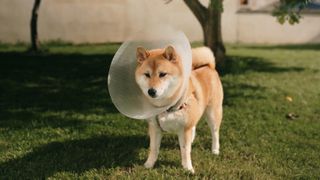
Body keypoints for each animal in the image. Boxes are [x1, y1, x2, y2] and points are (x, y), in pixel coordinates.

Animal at [134, 45, 222, 173]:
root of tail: (209, 66)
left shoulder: (184, 129)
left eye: (162, 74)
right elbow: (154, 148)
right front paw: (149, 165)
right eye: (147, 74)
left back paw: (215, 150)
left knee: (215, 132)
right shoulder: (155, 128)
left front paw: (188, 168)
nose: (151, 91)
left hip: (213, 113)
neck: (166, 107)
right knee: (194, 126)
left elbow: (185, 151)